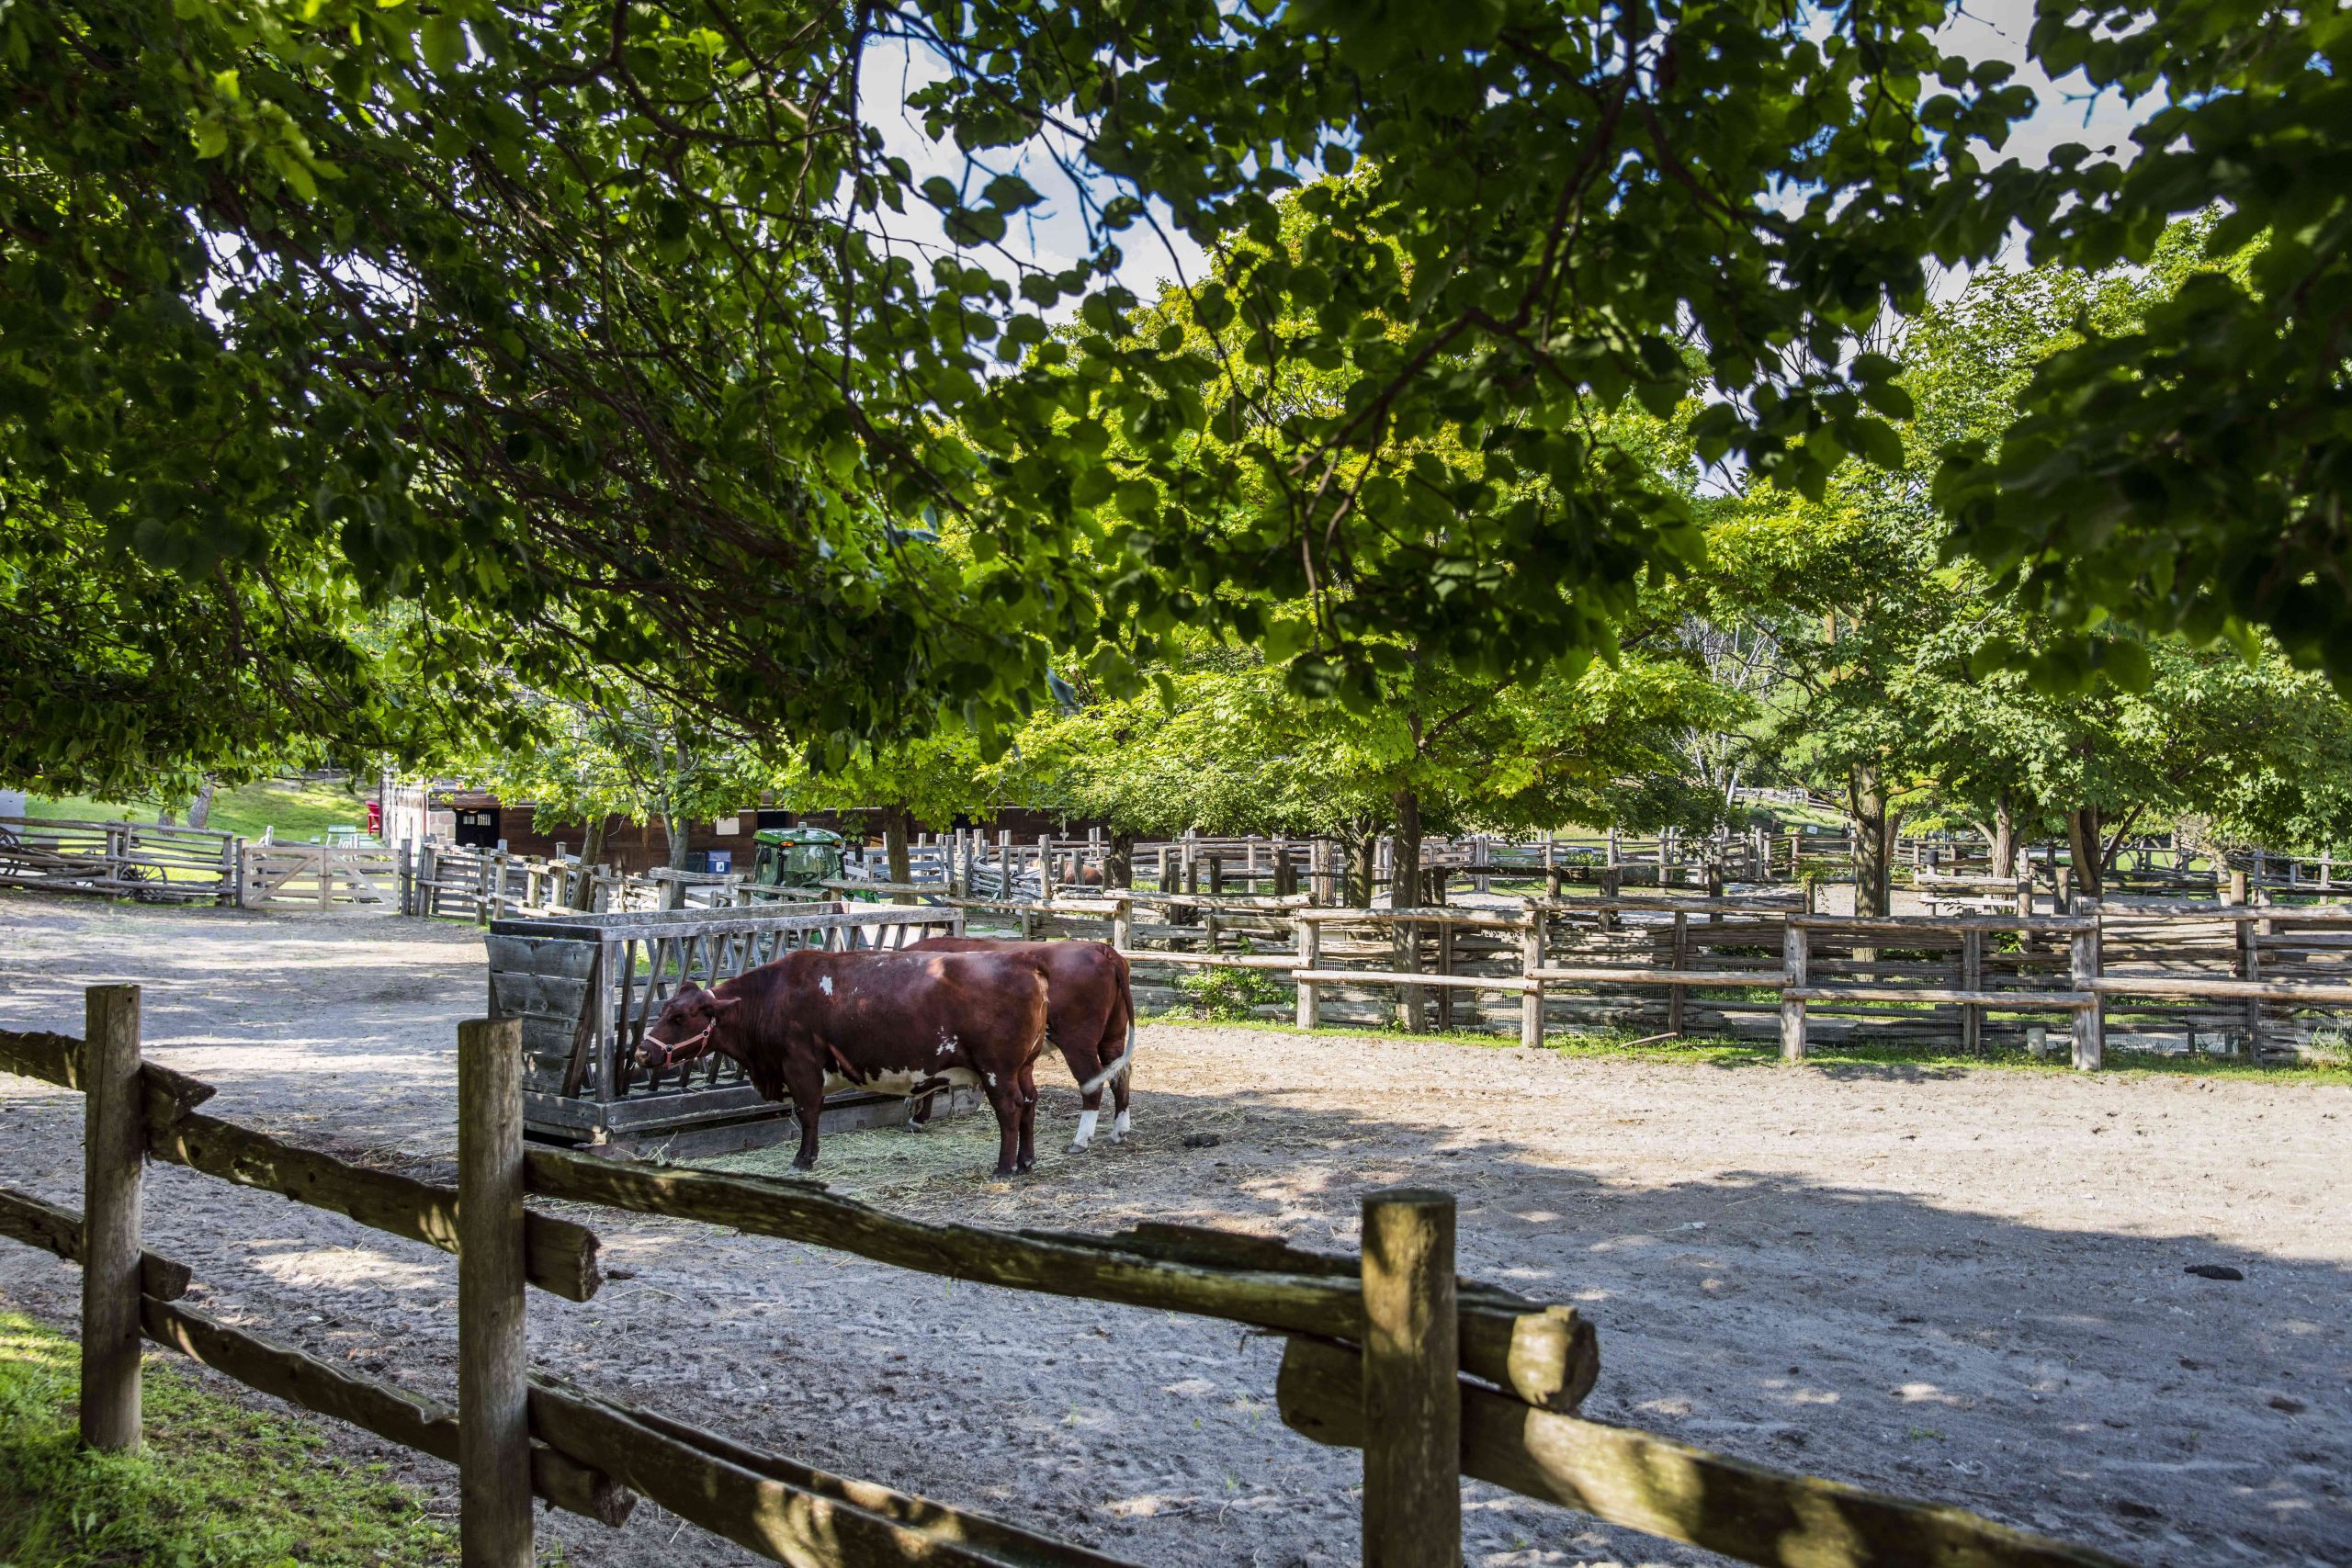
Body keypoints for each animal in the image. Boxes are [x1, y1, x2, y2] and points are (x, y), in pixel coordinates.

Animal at [639, 944, 1053, 1175]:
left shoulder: (801, 1065)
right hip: (1024, 1067)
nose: (644, 1051)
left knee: (1011, 1110)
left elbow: (808, 1114)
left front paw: (803, 1159)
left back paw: (1004, 1167)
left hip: (998, 1070)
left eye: (680, 1017)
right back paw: (1026, 1162)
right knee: (1030, 1104)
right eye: (665, 1009)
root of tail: (1023, 960)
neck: (774, 995)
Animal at [912, 931, 1133, 1152]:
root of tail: (1101, 948)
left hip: (1077, 1041)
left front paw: (917, 1119)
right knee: (1120, 1074)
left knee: (1092, 1081)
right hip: (1113, 1036)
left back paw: (1081, 1140)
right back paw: (1119, 1132)